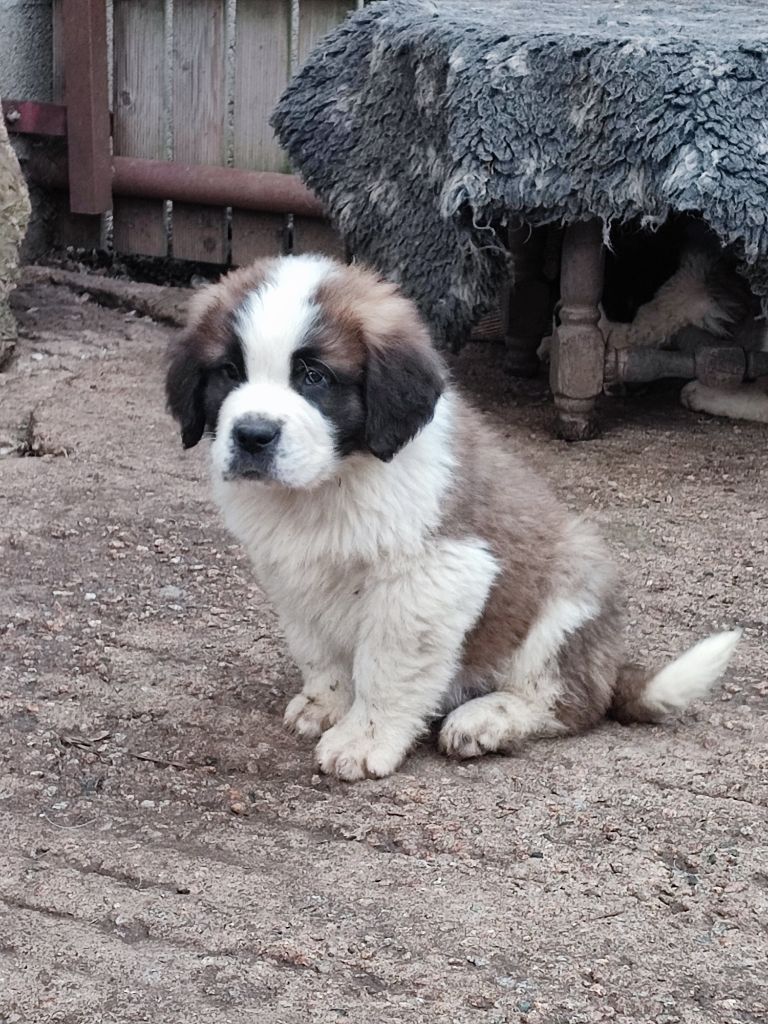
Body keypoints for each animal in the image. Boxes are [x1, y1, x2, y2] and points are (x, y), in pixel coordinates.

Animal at [165, 256, 741, 782]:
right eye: (229, 372)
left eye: (314, 376)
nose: (252, 435)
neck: (331, 482)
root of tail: (611, 663)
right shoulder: (292, 574)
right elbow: (318, 649)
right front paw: (326, 703)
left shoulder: (434, 574)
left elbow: (387, 666)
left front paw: (363, 739)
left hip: (571, 590)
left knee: (568, 700)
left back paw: (487, 719)